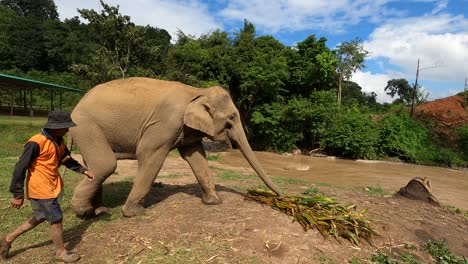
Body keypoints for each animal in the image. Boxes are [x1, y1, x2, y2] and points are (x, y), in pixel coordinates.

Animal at [68, 76, 282, 217]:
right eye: (231, 118)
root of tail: (77, 104)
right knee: (106, 164)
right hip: (86, 126)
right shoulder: (166, 123)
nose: (279, 197)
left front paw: (213, 202)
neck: (197, 91)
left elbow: (196, 156)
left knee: (94, 165)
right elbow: (149, 153)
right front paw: (134, 213)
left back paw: (99, 210)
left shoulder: (186, 129)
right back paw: (84, 211)